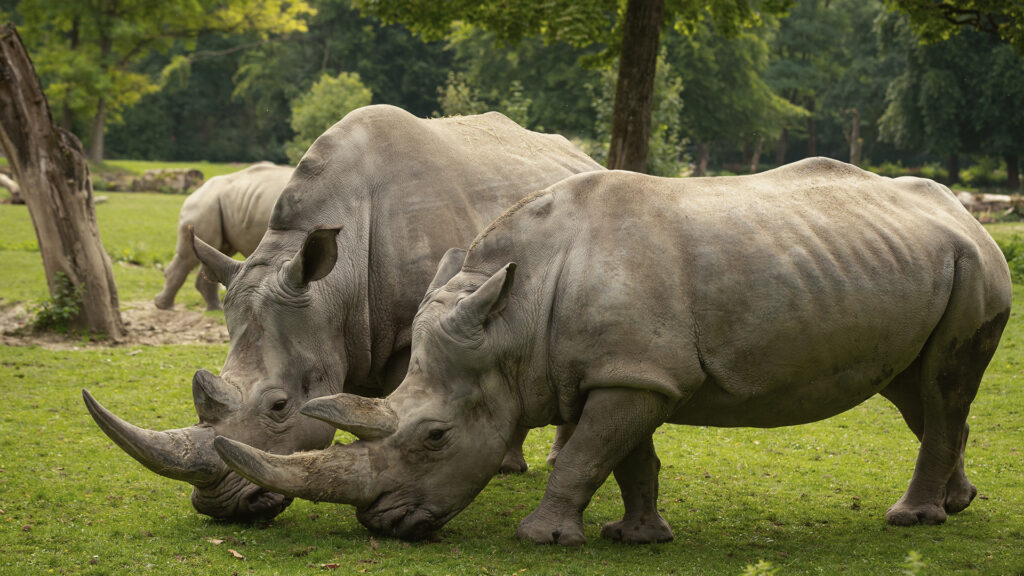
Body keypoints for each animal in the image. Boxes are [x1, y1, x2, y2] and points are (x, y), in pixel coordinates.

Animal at [154, 162, 292, 311]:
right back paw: (165, 306)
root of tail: (198, 190)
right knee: (190, 255)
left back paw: (215, 309)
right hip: (204, 204)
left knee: (219, 251)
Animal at [213, 158, 1012, 545]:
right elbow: (626, 458)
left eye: (434, 437)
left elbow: (583, 456)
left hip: (976, 266)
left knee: (941, 386)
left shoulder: (634, 377)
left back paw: (911, 520)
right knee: (920, 390)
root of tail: (963, 210)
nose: (381, 524)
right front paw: (635, 537)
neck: (511, 317)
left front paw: (542, 538)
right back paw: (956, 503)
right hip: (930, 261)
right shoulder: (625, 371)